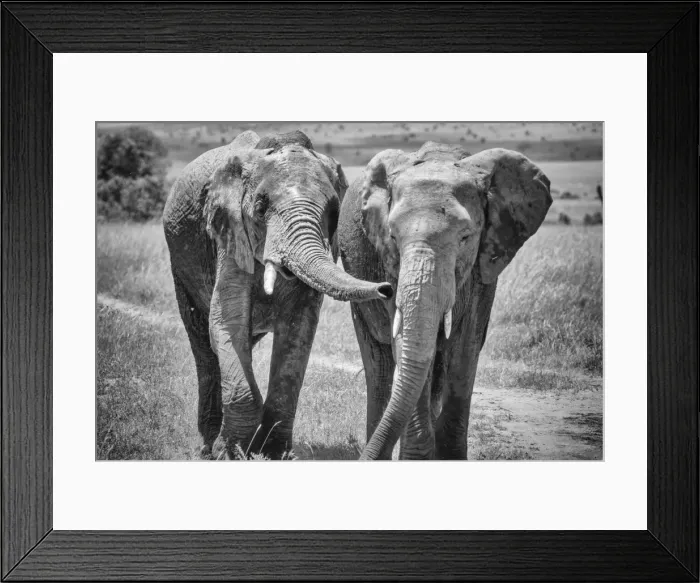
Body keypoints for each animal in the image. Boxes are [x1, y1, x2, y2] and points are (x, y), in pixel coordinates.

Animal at [163, 130, 392, 459]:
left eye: (335, 212)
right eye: (260, 208)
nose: (386, 289)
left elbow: (298, 329)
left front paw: (274, 454)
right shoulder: (229, 231)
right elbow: (226, 318)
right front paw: (230, 453)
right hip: (179, 264)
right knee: (202, 342)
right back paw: (208, 446)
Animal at [338, 142, 552, 460]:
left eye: (465, 237)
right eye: (392, 236)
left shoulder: (484, 266)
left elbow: (466, 347)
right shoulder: (388, 265)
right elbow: (406, 345)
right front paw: (416, 459)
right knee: (378, 365)